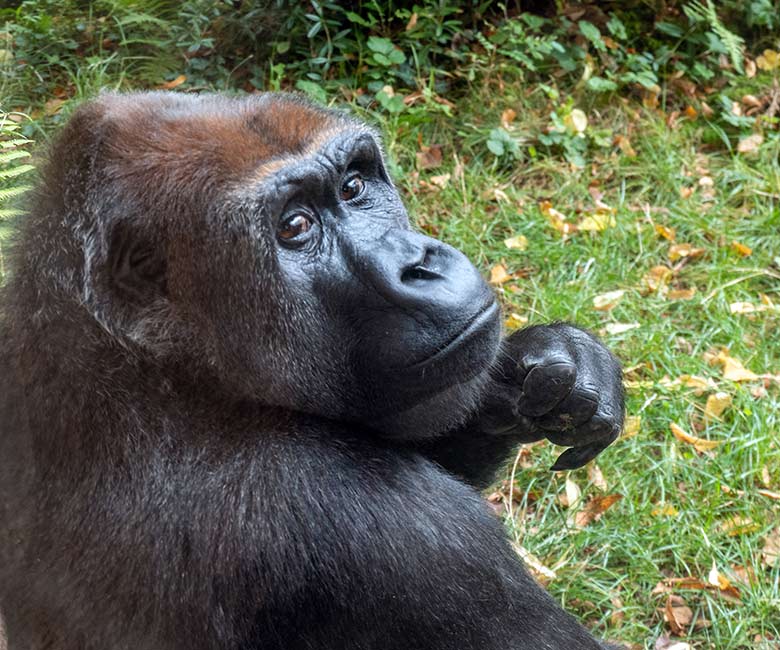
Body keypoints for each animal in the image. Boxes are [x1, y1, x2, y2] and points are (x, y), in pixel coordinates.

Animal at [0, 92, 624, 648]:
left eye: (353, 187)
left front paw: (551, 366)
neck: (159, 368)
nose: (419, 263)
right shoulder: (377, 527)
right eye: (294, 228)